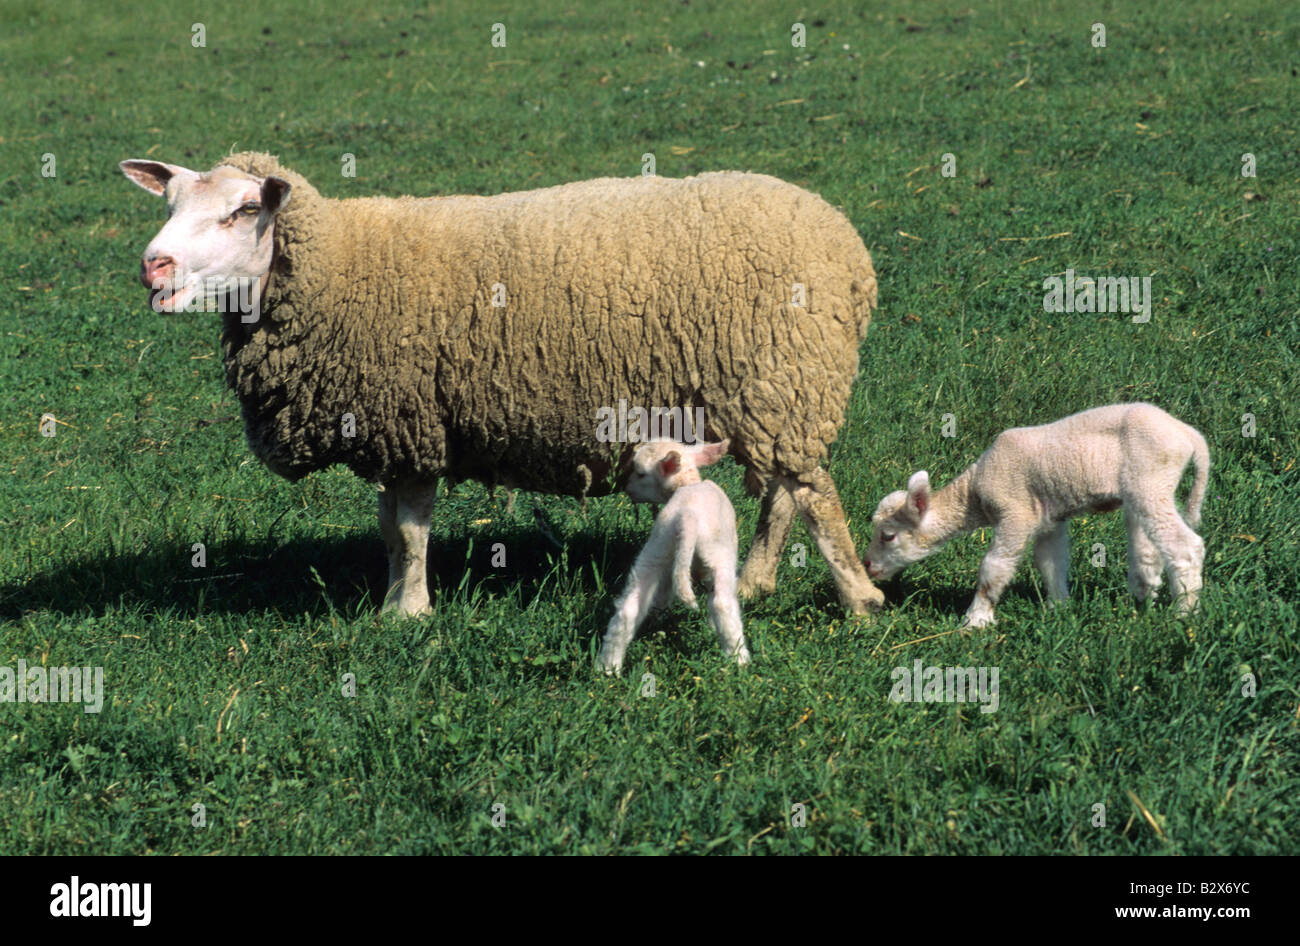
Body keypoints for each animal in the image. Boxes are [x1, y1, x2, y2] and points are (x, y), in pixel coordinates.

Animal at [120, 151, 887, 617]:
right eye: (170, 205)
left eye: (243, 212)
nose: (153, 266)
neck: (342, 266)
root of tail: (843, 243)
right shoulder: (396, 428)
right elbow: (393, 530)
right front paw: (395, 604)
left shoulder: (412, 422)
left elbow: (410, 528)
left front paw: (408, 612)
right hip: (773, 395)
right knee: (786, 491)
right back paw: (757, 581)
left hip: (782, 379)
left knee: (815, 496)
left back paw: (859, 597)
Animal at [598, 439, 748, 675]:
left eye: (640, 473)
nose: (626, 488)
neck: (687, 484)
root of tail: (687, 517)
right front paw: (712, 627)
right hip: (719, 556)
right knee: (722, 603)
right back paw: (740, 661)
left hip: (656, 549)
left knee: (629, 607)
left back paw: (608, 667)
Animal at [863, 403, 1209, 626]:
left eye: (888, 536)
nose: (867, 565)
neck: (973, 492)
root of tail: (1189, 436)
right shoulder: (1048, 517)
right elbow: (1049, 562)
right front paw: (1058, 608)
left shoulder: (1015, 512)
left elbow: (994, 567)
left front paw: (976, 620)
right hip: (1146, 489)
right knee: (1148, 547)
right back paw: (1143, 599)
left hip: (1151, 478)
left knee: (1185, 547)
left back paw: (1184, 615)